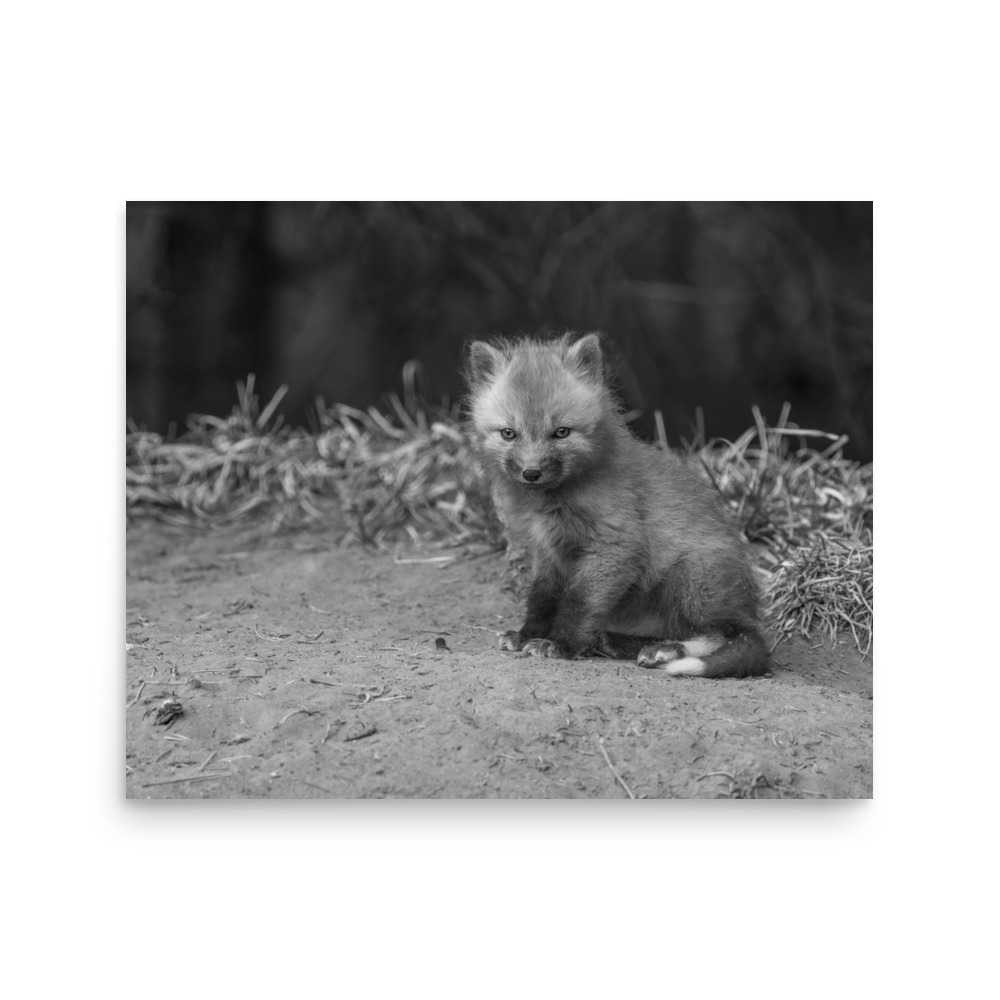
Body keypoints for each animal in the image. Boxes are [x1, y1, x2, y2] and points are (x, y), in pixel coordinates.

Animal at [463, 331, 770, 678]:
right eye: (508, 433)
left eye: (561, 432)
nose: (531, 472)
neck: (553, 502)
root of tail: (749, 609)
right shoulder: (548, 553)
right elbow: (541, 598)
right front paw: (528, 634)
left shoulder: (614, 547)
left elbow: (579, 603)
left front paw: (560, 644)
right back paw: (616, 642)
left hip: (689, 578)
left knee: (723, 635)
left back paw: (664, 651)